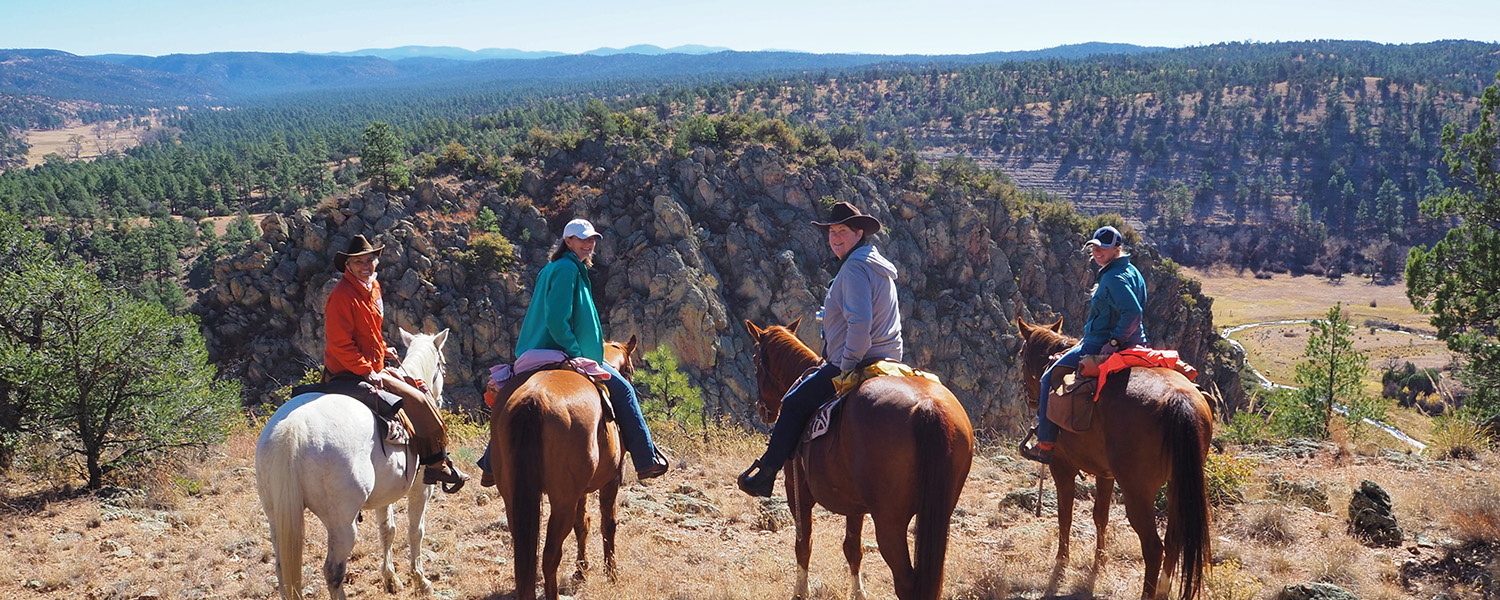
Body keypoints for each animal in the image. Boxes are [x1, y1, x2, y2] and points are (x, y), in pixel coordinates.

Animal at [258, 328, 450, 600]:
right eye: (442, 365)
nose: (440, 398)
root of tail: (293, 430)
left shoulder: (385, 494)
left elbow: (387, 530)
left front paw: (391, 579)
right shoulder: (422, 488)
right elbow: (416, 531)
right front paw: (421, 581)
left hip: (276, 515)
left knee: (282, 570)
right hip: (342, 523)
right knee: (333, 571)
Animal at [489, 337, 636, 600]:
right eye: (630, 370)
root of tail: (534, 399)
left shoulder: (581, 490)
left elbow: (583, 523)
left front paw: (581, 571)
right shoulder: (612, 480)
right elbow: (608, 523)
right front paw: (611, 574)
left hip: (512, 495)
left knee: (525, 550)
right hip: (562, 500)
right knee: (550, 555)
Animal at [747, 318, 978, 600]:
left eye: (756, 361)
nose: (763, 410)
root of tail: (927, 405)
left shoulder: (797, 490)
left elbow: (804, 543)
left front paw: (800, 591)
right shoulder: (855, 505)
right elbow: (853, 549)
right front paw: (858, 592)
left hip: (890, 521)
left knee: (905, 581)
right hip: (939, 514)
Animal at [1014, 316, 1212, 597]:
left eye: (1022, 355)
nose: (1030, 399)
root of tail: (1179, 397)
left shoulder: (1062, 466)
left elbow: (1065, 514)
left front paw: (1061, 562)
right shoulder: (1105, 474)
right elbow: (1100, 516)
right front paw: (1100, 562)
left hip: (1138, 492)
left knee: (1154, 547)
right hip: (1177, 485)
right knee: (1174, 538)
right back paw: (1163, 588)